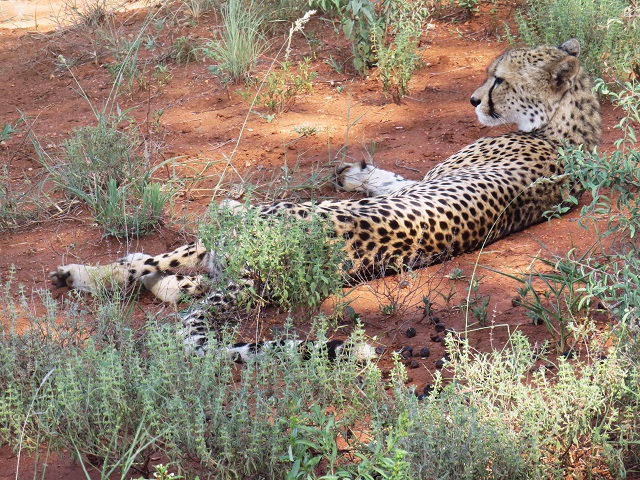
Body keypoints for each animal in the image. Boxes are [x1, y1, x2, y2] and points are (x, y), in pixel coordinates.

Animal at [49, 39, 600, 353]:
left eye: (500, 80)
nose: (472, 100)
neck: (569, 132)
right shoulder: (425, 179)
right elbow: (391, 178)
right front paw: (352, 171)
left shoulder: (433, 177)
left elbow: (397, 181)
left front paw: (352, 175)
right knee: (189, 284)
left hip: (249, 228)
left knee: (159, 266)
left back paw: (83, 273)